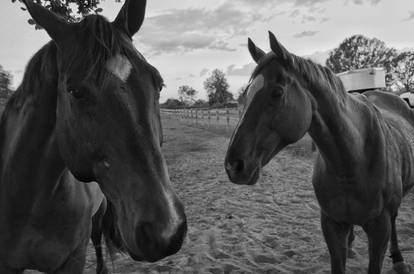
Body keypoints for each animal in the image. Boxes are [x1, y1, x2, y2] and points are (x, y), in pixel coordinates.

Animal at [225, 31, 414, 272]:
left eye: (276, 92)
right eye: (245, 96)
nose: (233, 165)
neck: (354, 159)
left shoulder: (379, 229)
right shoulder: (331, 225)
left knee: (395, 221)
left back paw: (398, 259)